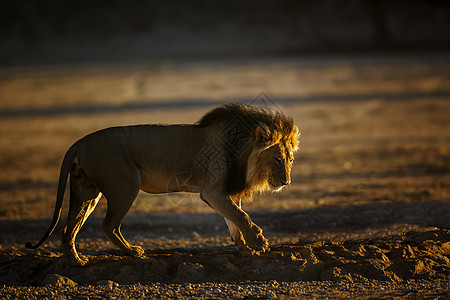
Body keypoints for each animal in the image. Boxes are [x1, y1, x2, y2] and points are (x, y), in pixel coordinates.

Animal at [24, 102, 298, 266]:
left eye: (290, 159)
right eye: (276, 159)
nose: (286, 181)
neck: (243, 151)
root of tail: (79, 143)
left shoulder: (227, 192)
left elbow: (233, 219)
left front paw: (245, 248)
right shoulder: (212, 191)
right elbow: (241, 215)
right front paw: (259, 242)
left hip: (86, 191)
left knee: (68, 229)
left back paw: (76, 262)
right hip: (125, 185)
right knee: (108, 225)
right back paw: (133, 252)